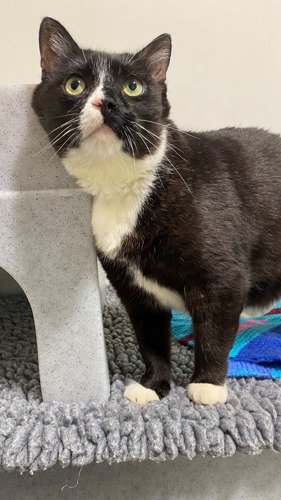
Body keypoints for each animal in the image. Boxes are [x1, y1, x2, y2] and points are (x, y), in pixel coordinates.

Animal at [32, 16, 281, 406]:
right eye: (75, 84)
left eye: (133, 87)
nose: (108, 102)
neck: (121, 187)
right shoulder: (133, 289)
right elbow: (150, 339)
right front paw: (153, 384)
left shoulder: (223, 278)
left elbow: (214, 331)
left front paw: (208, 385)